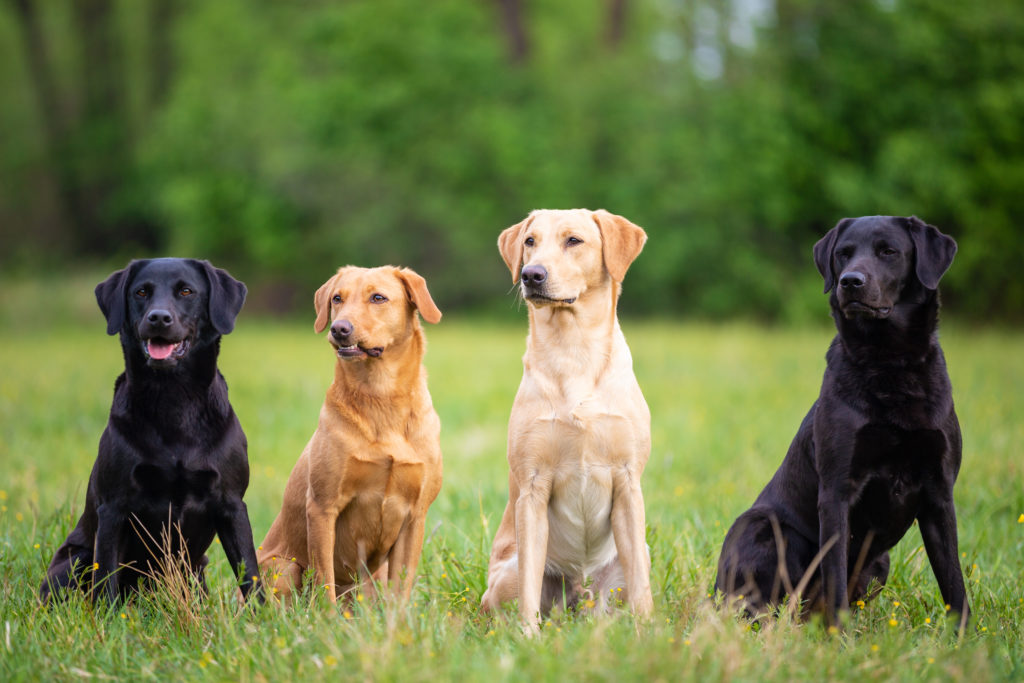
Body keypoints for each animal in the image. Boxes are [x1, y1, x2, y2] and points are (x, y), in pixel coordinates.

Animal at [42, 258, 260, 602]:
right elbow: (106, 577)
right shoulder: (114, 508)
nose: (158, 318)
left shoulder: (232, 504)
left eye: (186, 291)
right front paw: (108, 616)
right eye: (141, 292)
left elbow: (250, 572)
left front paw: (261, 613)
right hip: (75, 559)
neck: (173, 399)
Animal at [258, 266, 442, 602]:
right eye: (337, 299)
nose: (339, 328)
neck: (382, 397)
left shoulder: (415, 516)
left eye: (378, 297)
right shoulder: (322, 507)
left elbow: (402, 588)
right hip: (282, 568)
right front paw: (327, 615)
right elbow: (325, 581)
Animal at [481, 209, 655, 634]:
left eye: (573, 240)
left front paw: (647, 634)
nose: (531, 274)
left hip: (631, 557)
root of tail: (580, 594)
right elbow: (529, 586)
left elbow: (641, 588)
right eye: (530, 241)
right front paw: (528, 637)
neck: (573, 350)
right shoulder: (532, 488)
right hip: (506, 575)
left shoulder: (628, 481)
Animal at [712, 218, 966, 630]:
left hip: (880, 561)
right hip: (763, 528)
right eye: (843, 254)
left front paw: (966, 637)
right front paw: (840, 637)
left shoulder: (939, 493)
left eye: (888, 251)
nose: (850, 281)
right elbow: (836, 577)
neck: (889, 363)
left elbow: (954, 580)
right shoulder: (836, 491)